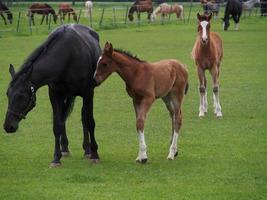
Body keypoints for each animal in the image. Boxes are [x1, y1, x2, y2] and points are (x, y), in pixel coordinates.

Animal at [3, 24, 102, 167]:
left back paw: (87, 150)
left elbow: (89, 121)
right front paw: (56, 158)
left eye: (21, 96)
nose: (8, 126)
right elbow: (57, 124)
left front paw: (94, 154)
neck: (68, 57)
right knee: (63, 119)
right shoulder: (55, 95)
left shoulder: (88, 93)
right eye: (7, 94)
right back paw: (65, 148)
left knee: (84, 118)